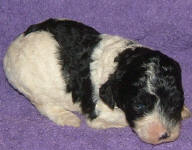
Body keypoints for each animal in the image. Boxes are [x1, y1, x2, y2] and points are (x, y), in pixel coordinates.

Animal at [3, 18, 190, 144]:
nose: (164, 135)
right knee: (45, 106)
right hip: (33, 87)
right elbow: (121, 119)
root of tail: (12, 47)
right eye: (139, 106)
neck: (120, 64)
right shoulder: (100, 112)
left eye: (176, 102)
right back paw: (68, 118)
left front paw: (184, 111)